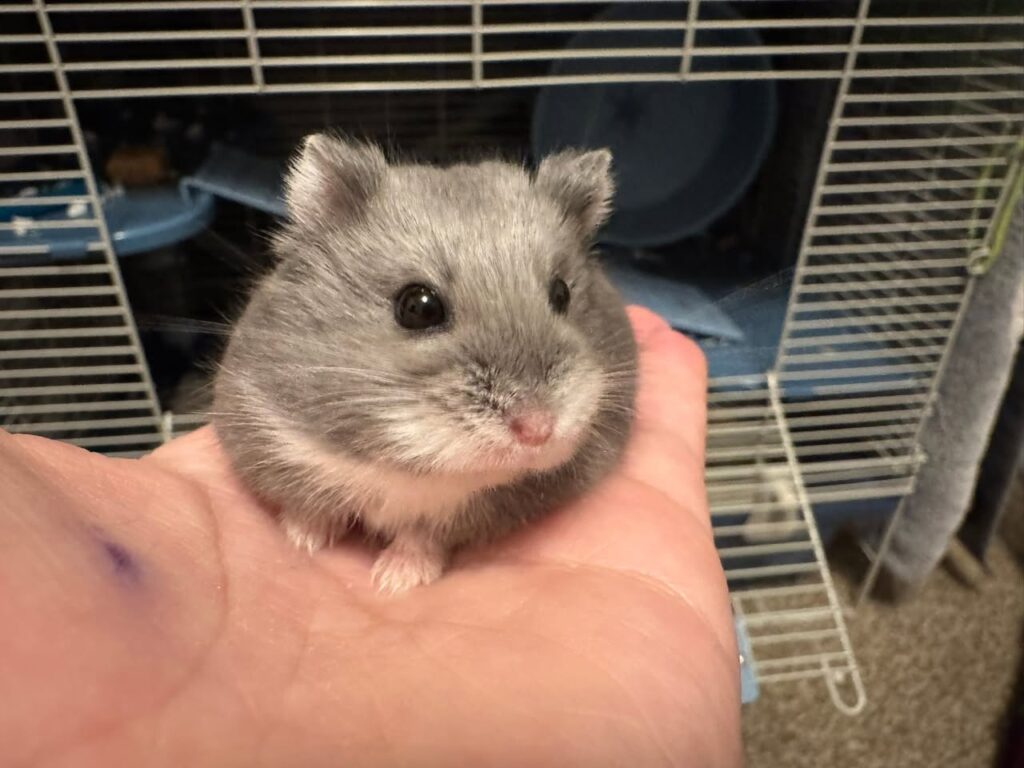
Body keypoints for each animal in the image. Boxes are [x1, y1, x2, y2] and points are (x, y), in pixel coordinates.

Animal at [212, 134, 637, 594]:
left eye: (561, 294)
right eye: (417, 306)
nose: (538, 431)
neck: (414, 468)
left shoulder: (476, 510)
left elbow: (423, 537)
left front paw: (394, 580)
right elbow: (311, 504)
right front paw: (303, 541)